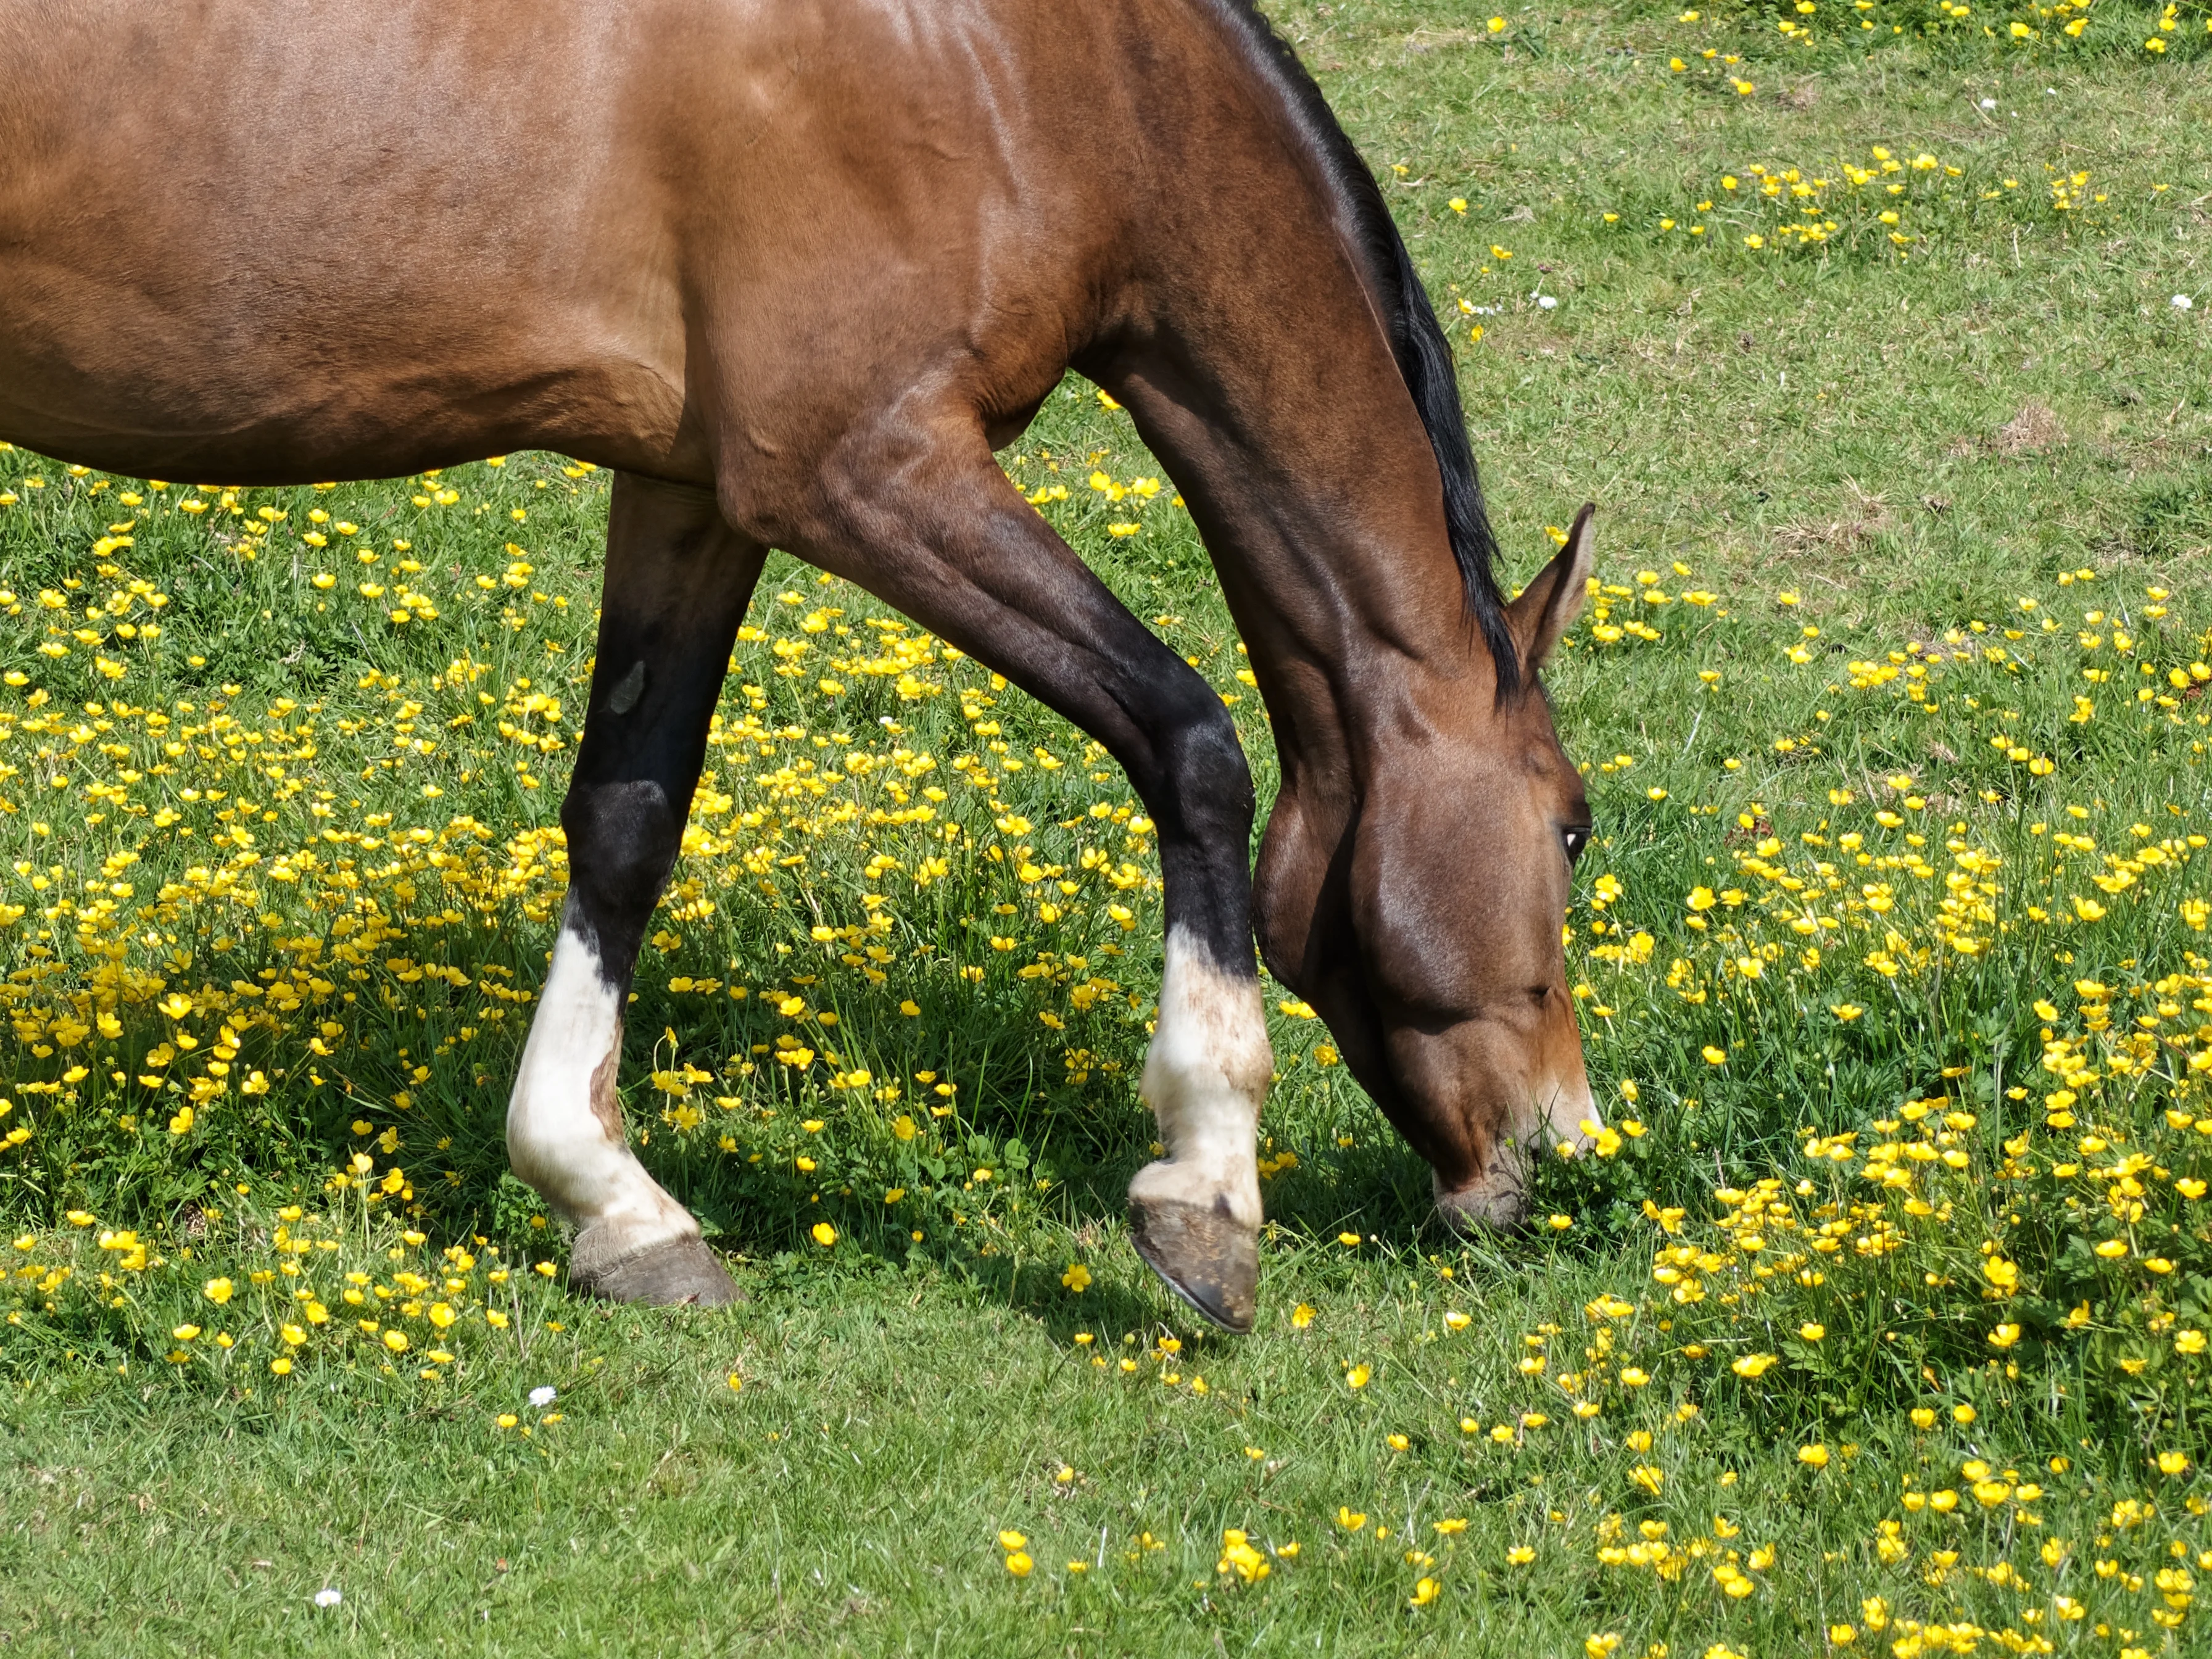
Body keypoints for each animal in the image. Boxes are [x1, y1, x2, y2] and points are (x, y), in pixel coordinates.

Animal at [0, 0, 1599, 1329]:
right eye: (1574, 827)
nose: (1563, 1148)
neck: (1033, 66)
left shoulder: (694, 488)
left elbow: (627, 816)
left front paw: (610, 1201)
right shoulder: (866, 471)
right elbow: (1189, 739)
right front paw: (1205, 1187)